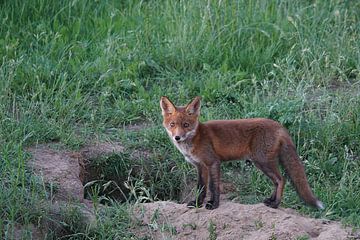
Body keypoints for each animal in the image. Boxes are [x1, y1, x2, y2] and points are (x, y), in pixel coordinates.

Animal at [160, 95, 324, 210]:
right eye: (172, 124)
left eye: (186, 125)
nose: (177, 137)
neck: (196, 138)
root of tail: (279, 125)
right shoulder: (200, 166)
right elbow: (201, 188)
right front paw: (197, 204)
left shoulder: (213, 162)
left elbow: (213, 187)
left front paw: (214, 205)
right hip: (262, 163)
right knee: (277, 181)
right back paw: (270, 200)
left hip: (263, 162)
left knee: (281, 179)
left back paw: (276, 204)